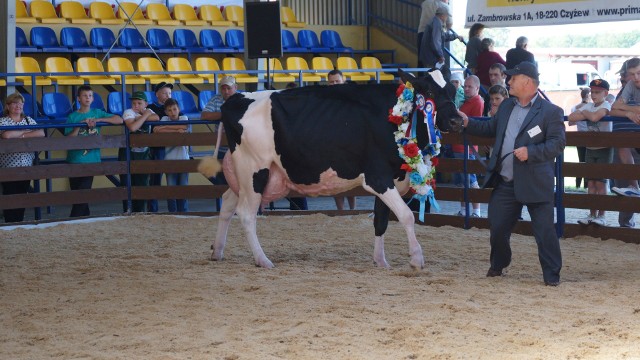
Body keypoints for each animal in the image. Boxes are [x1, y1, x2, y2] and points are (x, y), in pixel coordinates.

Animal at [200, 69, 460, 268]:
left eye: (451, 90)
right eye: (428, 92)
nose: (458, 120)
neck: (394, 116)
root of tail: (236, 98)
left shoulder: (391, 179)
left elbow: (381, 221)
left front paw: (381, 261)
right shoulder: (377, 177)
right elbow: (406, 216)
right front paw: (416, 259)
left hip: (245, 177)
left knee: (227, 204)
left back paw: (217, 251)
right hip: (254, 170)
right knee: (246, 214)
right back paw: (263, 260)